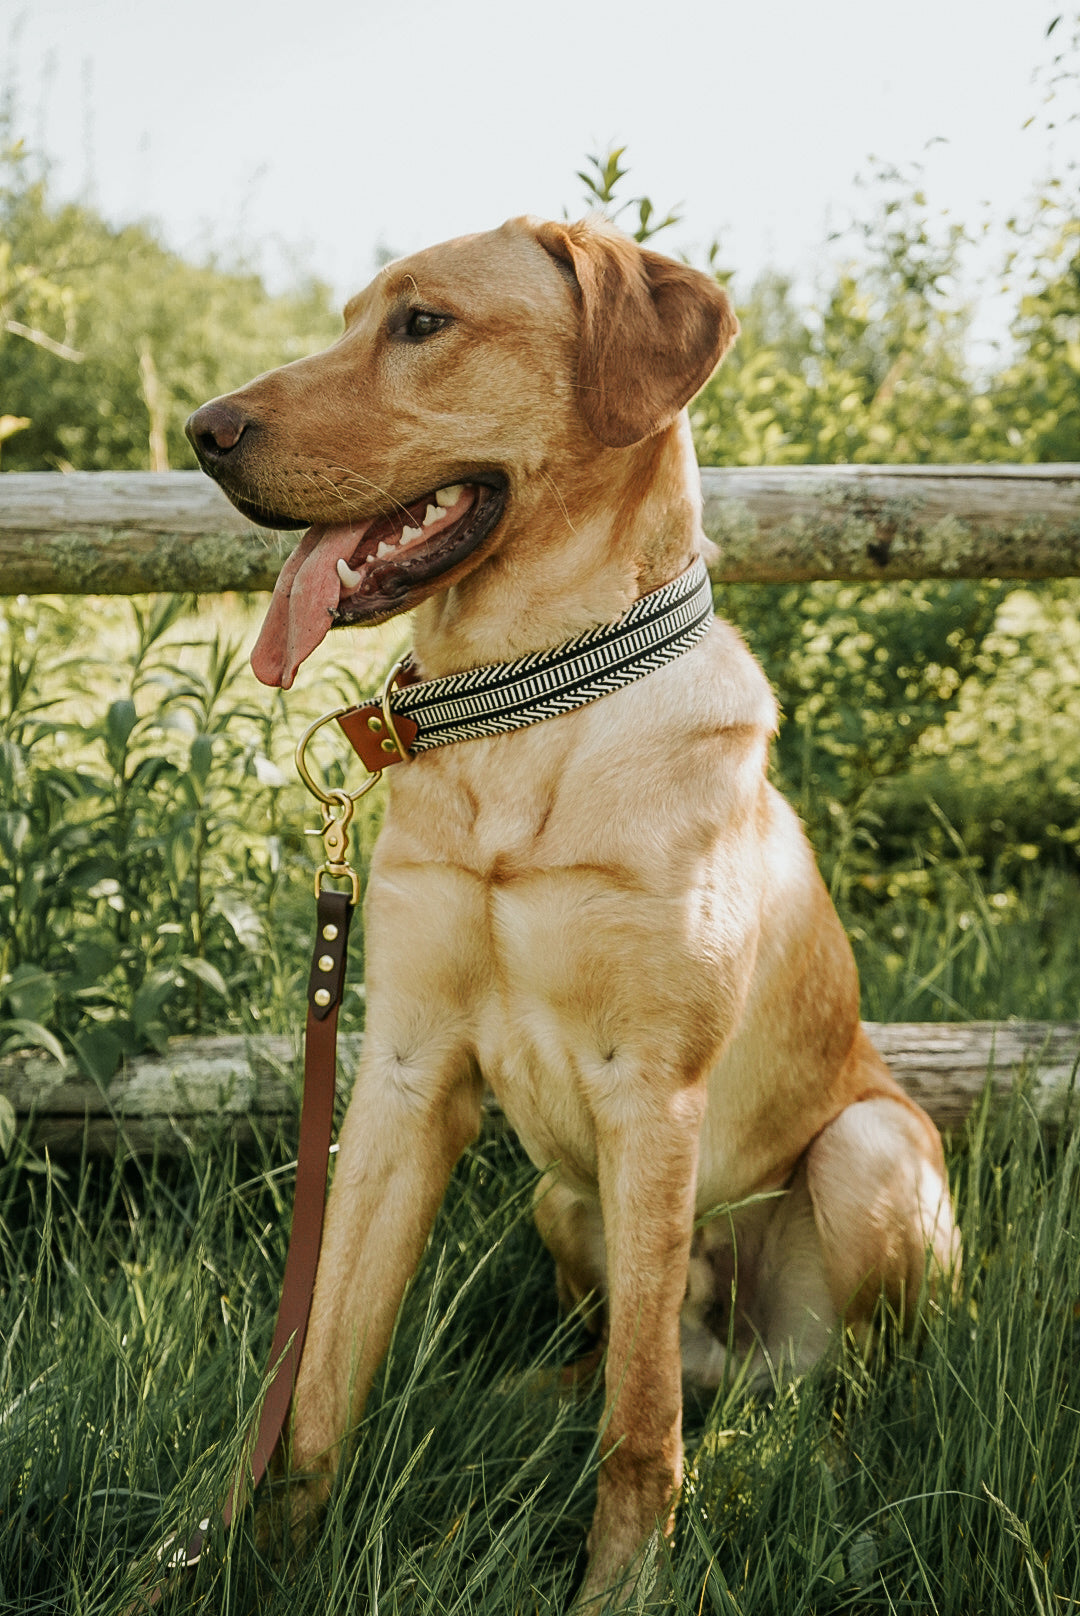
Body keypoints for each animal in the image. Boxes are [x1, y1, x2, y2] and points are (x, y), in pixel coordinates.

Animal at [185, 214, 950, 1603]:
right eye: (347, 318)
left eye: (422, 323)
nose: (203, 430)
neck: (524, 703)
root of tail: (747, 1361)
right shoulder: (404, 1073)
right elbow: (321, 1374)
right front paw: (270, 1559)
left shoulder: (651, 1088)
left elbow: (640, 1431)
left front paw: (620, 1589)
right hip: (562, 1196)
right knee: (634, 1352)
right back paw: (526, 1393)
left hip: (868, 1153)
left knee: (814, 1380)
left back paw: (836, 1460)